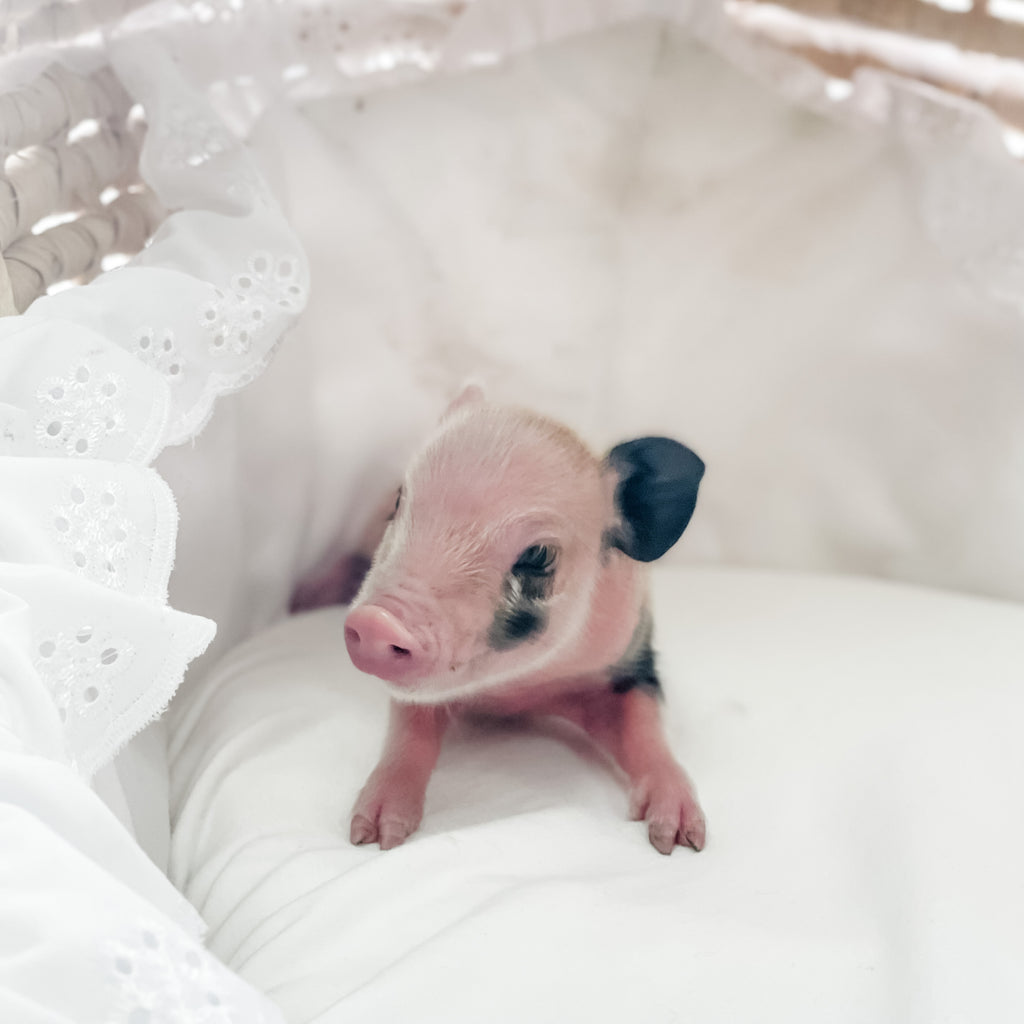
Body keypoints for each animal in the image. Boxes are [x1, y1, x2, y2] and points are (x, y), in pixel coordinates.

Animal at [344, 386, 707, 855]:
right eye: (398, 501)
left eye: (538, 554)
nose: (377, 621)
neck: (516, 696)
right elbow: (409, 732)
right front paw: (371, 835)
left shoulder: (633, 659)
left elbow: (645, 727)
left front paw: (680, 840)